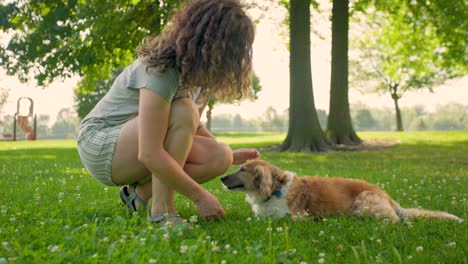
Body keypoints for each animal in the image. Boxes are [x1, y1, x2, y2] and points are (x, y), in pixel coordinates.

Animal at [221, 160, 462, 222]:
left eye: (242, 169)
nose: (222, 178)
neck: (275, 189)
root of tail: (386, 195)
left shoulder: (297, 217)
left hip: (366, 205)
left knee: (395, 221)